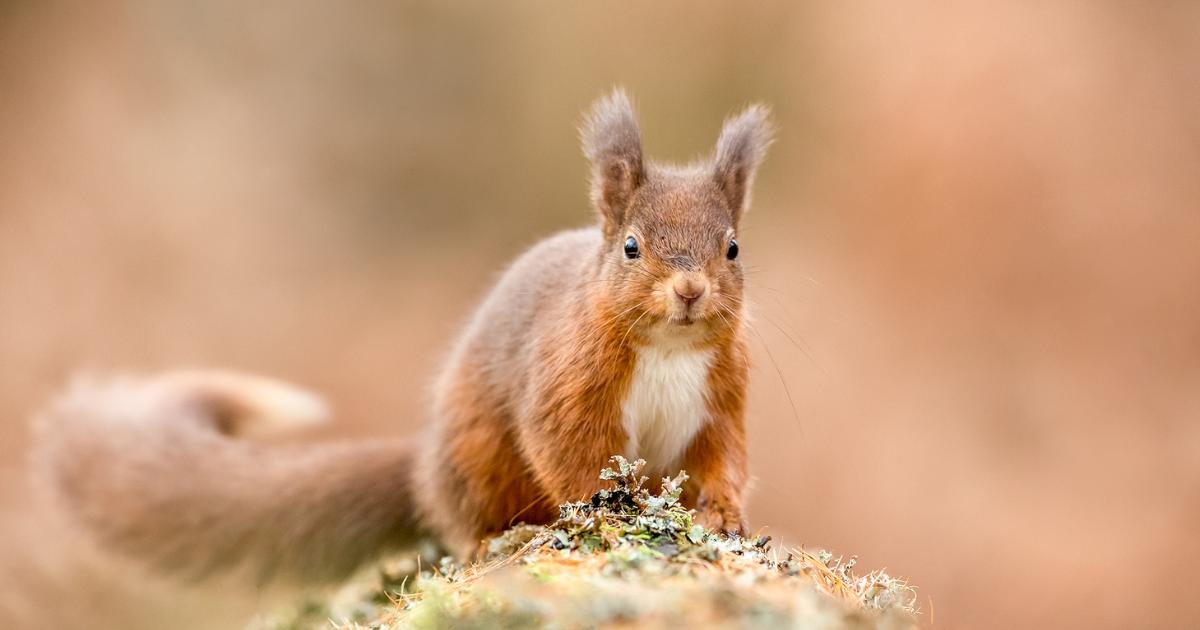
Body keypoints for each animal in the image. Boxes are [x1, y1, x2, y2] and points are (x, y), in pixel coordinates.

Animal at [32, 89, 773, 585]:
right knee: (469, 516)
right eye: (630, 247)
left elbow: (725, 459)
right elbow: (569, 457)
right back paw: (489, 542)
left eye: (733, 248)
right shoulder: (567, 387)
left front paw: (724, 514)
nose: (689, 292)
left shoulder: (722, 400)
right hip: (474, 459)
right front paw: (611, 514)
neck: (669, 349)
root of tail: (422, 467)